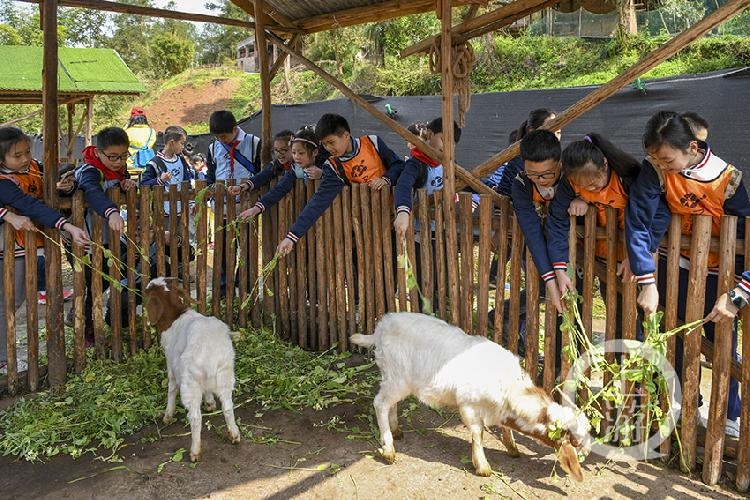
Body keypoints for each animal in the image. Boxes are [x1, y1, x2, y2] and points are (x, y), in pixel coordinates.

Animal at [144, 278, 241, 460]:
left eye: (151, 289)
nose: (146, 286)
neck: (175, 315)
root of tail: (210, 354)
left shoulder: (171, 363)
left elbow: (171, 388)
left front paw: (167, 416)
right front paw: (210, 403)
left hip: (190, 383)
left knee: (196, 417)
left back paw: (195, 452)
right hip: (225, 376)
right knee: (228, 407)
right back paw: (234, 435)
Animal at [352, 312, 592, 480]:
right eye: (576, 439)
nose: (588, 453)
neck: (509, 387)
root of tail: (380, 328)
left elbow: (506, 430)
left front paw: (512, 448)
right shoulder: (468, 406)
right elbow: (478, 434)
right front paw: (483, 466)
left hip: (394, 379)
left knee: (389, 403)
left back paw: (396, 430)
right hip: (398, 378)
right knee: (380, 403)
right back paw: (388, 449)